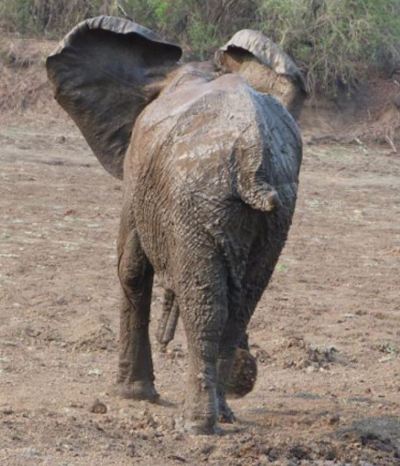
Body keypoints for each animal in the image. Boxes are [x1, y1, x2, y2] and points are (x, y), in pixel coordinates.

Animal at [47, 16, 304, 436]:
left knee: (205, 303)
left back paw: (195, 424)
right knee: (242, 303)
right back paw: (223, 414)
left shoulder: (137, 171)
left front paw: (132, 395)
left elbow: (131, 267)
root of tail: (252, 155)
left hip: (196, 200)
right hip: (276, 213)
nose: (247, 379)